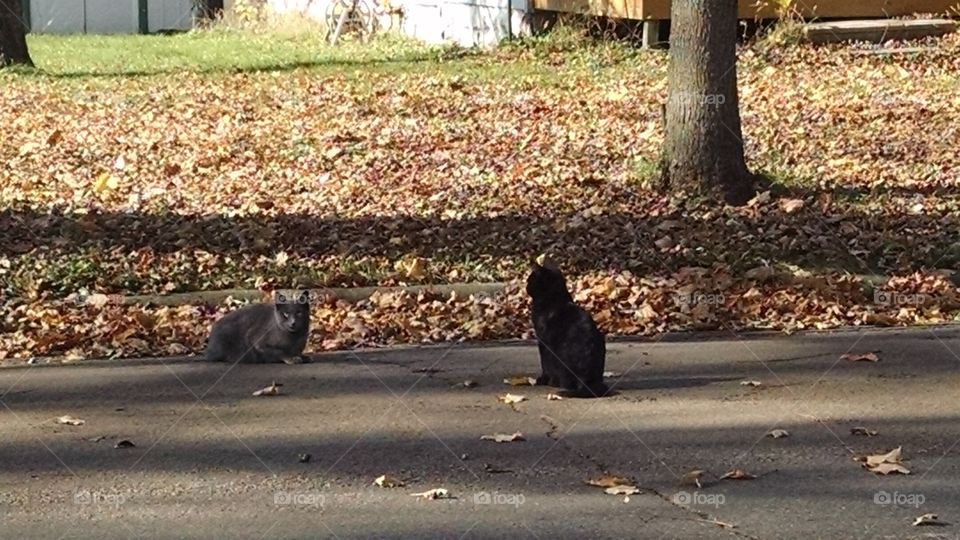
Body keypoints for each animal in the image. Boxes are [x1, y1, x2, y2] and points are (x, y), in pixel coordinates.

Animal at [524, 262, 608, 396]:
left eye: (530, 280)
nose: (526, 286)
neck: (555, 298)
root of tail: (587, 381)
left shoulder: (543, 341)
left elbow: (544, 364)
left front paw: (542, 380)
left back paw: (555, 383)